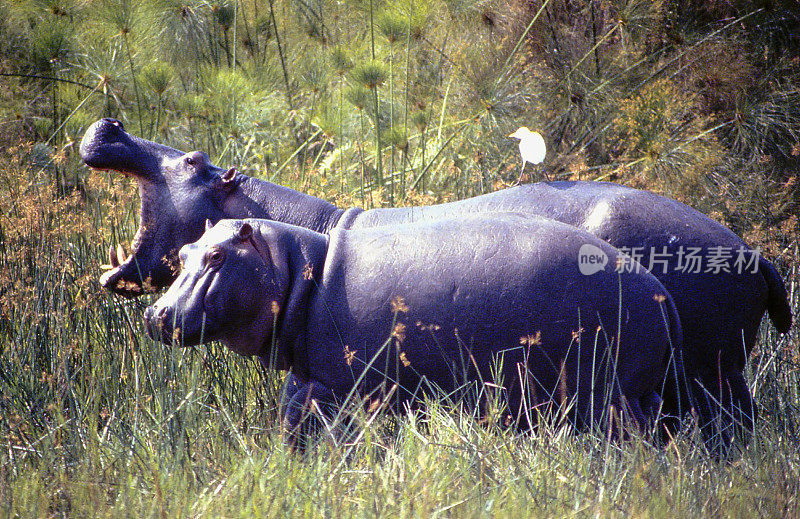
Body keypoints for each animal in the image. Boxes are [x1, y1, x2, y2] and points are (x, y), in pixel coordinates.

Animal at [142, 216, 680, 446]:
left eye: (218, 255)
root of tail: (660, 291)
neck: (296, 267)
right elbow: (292, 417)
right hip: (635, 390)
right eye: (185, 251)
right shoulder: (312, 376)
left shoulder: (342, 387)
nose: (155, 314)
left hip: (602, 393)